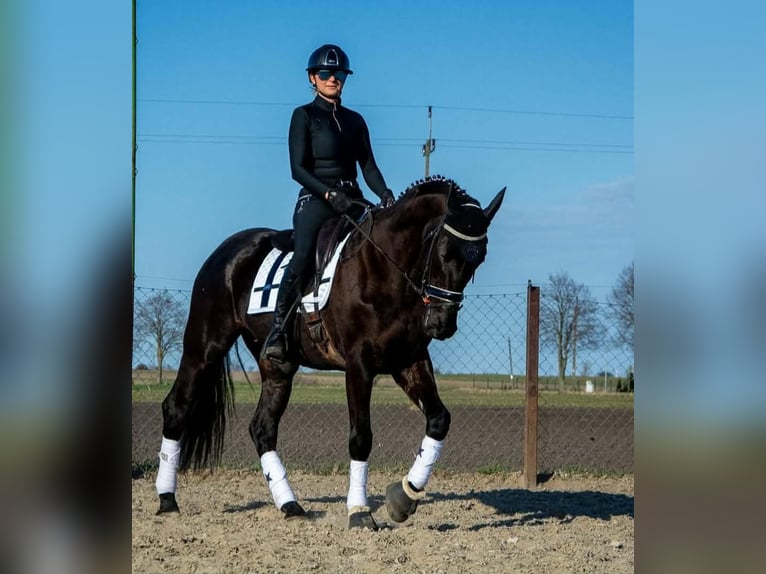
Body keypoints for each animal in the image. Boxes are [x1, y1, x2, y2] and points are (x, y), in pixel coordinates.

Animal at [153, 175, 505, 529]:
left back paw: (290, 505)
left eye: (479, 259)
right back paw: (167, 499)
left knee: (262, 428)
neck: (384, 268)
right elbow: (360, 437)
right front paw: (359, 511)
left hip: (277, 366)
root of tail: (226, 250)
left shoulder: (409, 361)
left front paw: (403, 498)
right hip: (204, 346)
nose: (442, 324)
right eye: (444, 251)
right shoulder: (359, 365)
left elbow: (439, 419)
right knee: (177, 407)